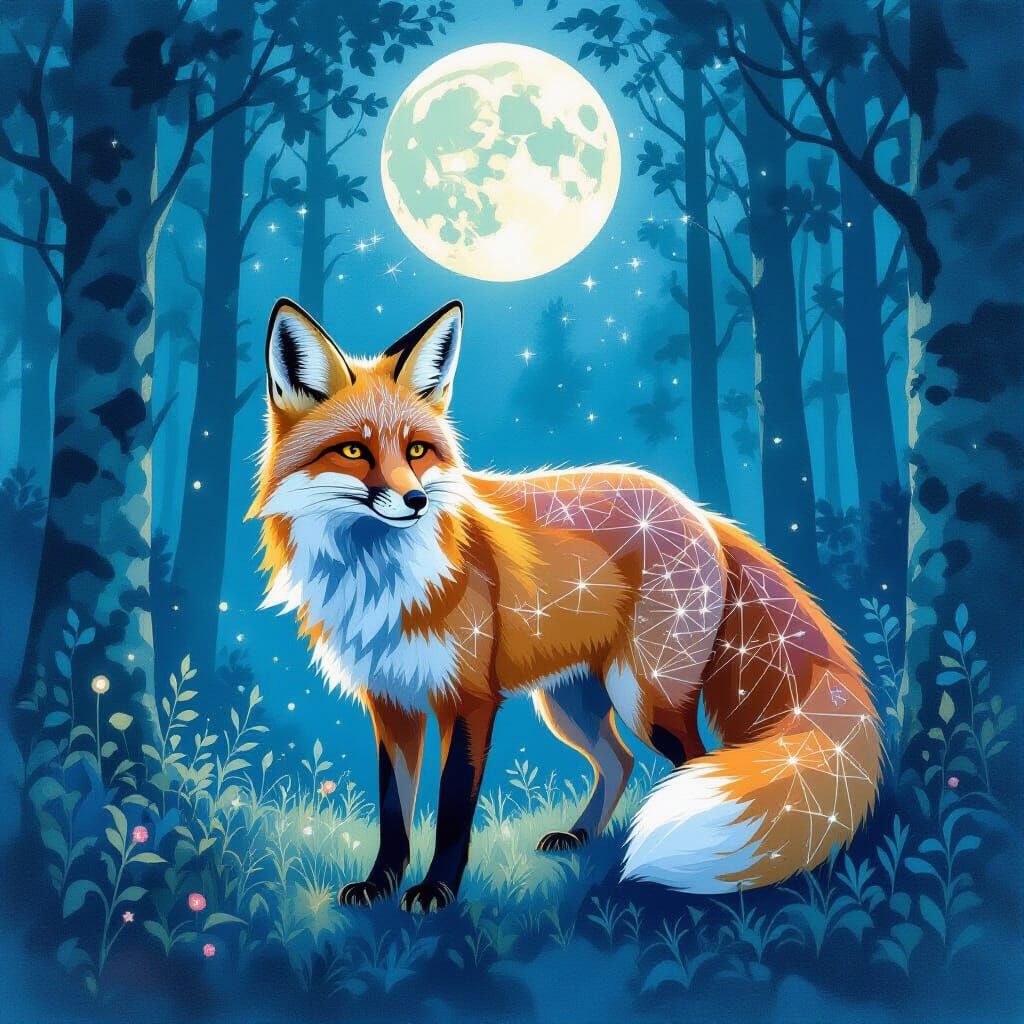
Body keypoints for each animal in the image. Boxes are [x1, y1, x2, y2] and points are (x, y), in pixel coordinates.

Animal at [249, 297, 882, 912]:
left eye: (418, 450)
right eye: (354, 450)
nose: (416, 500)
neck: (380, 580)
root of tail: (697, 509)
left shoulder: (470, 700)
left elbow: (452, 809)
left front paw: (436, 893)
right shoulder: (392, 703)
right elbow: (393, 812)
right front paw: (379, 884)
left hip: (643, 694)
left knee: (691, 762)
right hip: (569, 703)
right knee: (620, 761)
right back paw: (581, 838)